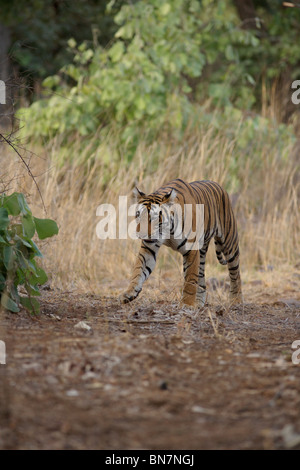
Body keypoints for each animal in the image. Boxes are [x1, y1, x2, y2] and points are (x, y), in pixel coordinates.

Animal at [119, 178, 241, 306]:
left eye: (153, 218)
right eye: (138, 215)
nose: (140, 235)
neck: (168, 232)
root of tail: (220, 186)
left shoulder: (191, 249)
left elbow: (190, 278)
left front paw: (187, 304)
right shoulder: (149, 248)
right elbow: (138, 270)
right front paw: (129, 293)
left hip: (229, 243)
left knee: (235, 273)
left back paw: (236, 301)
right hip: (202, 251)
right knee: (201, 275)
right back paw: (198, 302)